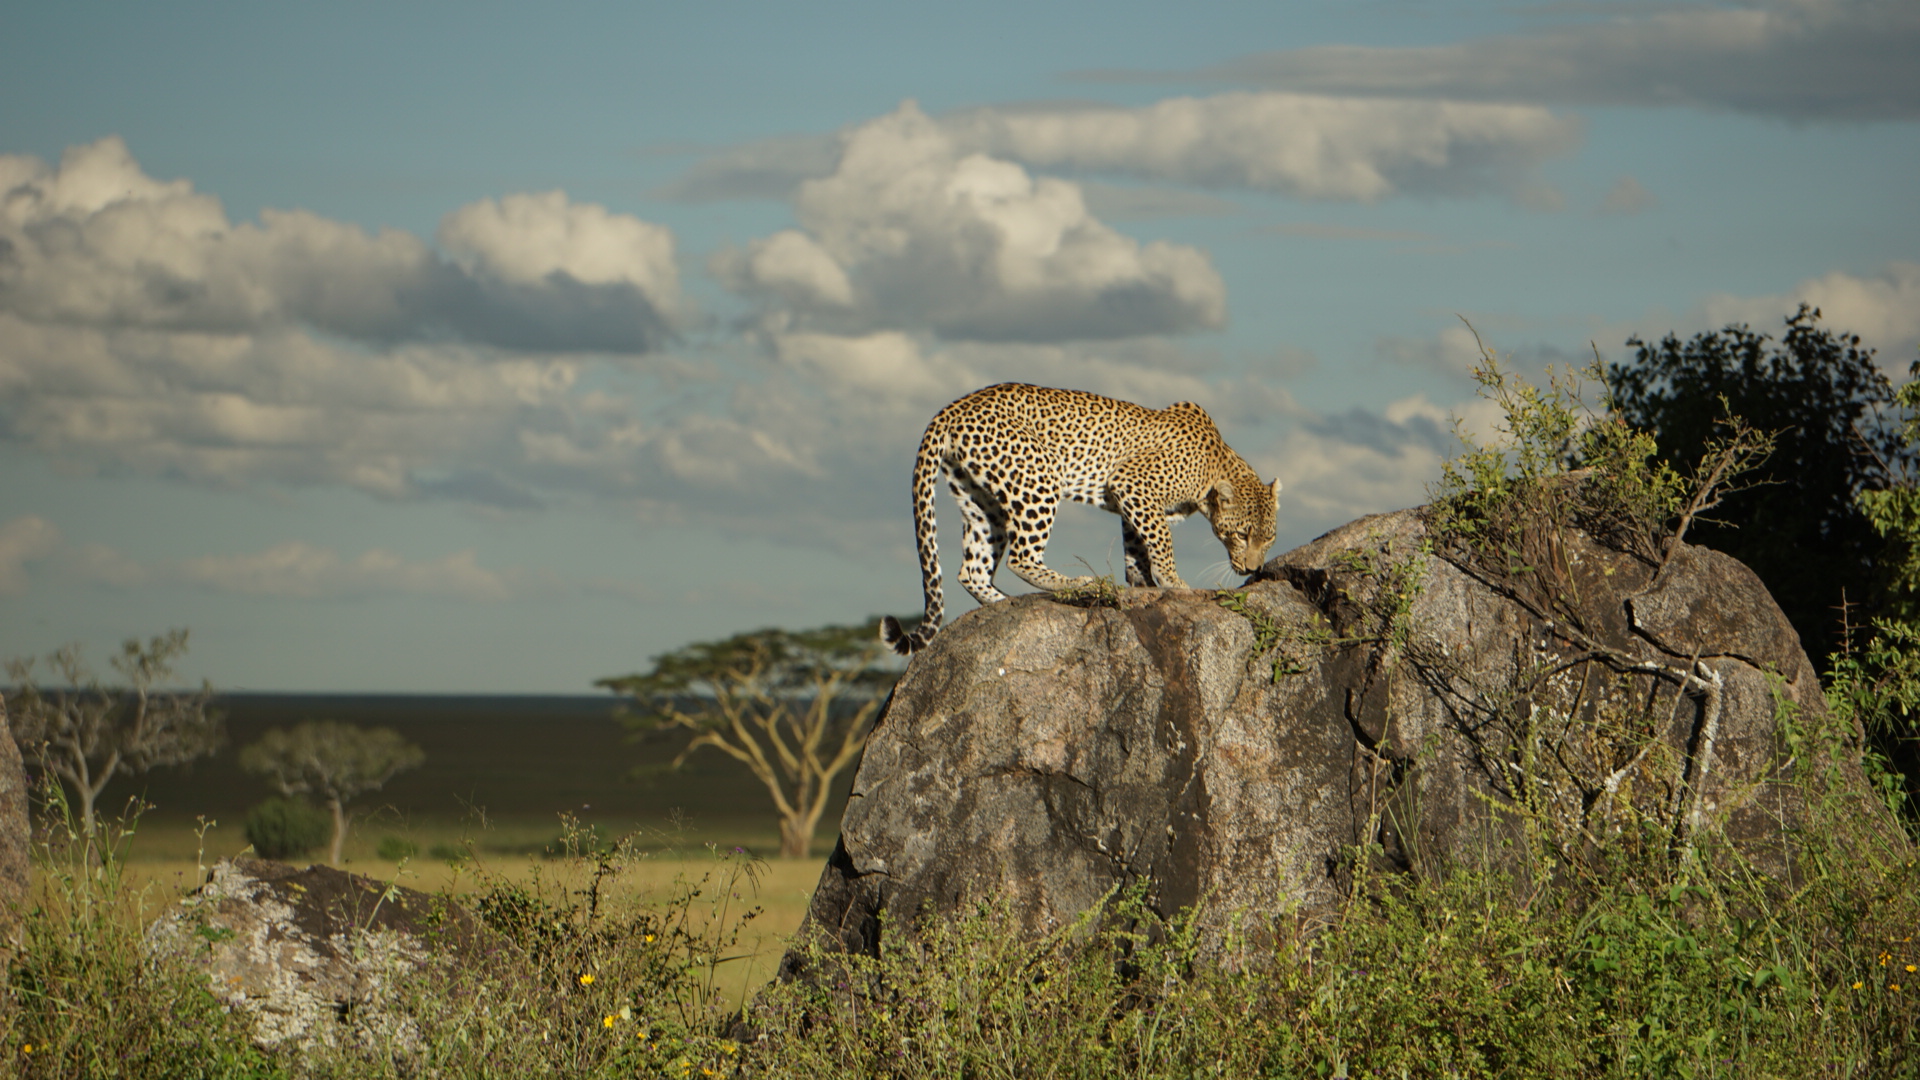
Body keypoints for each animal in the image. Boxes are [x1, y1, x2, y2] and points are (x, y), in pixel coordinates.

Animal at [879, 382, 1274, 653]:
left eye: (1268, 539)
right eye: (1241, 535)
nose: (1253, 568)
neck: (1215, 468)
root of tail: (952, 407)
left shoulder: (1132, 503)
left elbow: (1137, 551)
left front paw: (1142, 584)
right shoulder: (1132, 484)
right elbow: (1160, 543)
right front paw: (1174, 583)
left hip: (980, 502)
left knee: (971, 569)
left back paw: (1003, 602)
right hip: (1037, 480)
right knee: (1022, 557)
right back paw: (1078, 585)